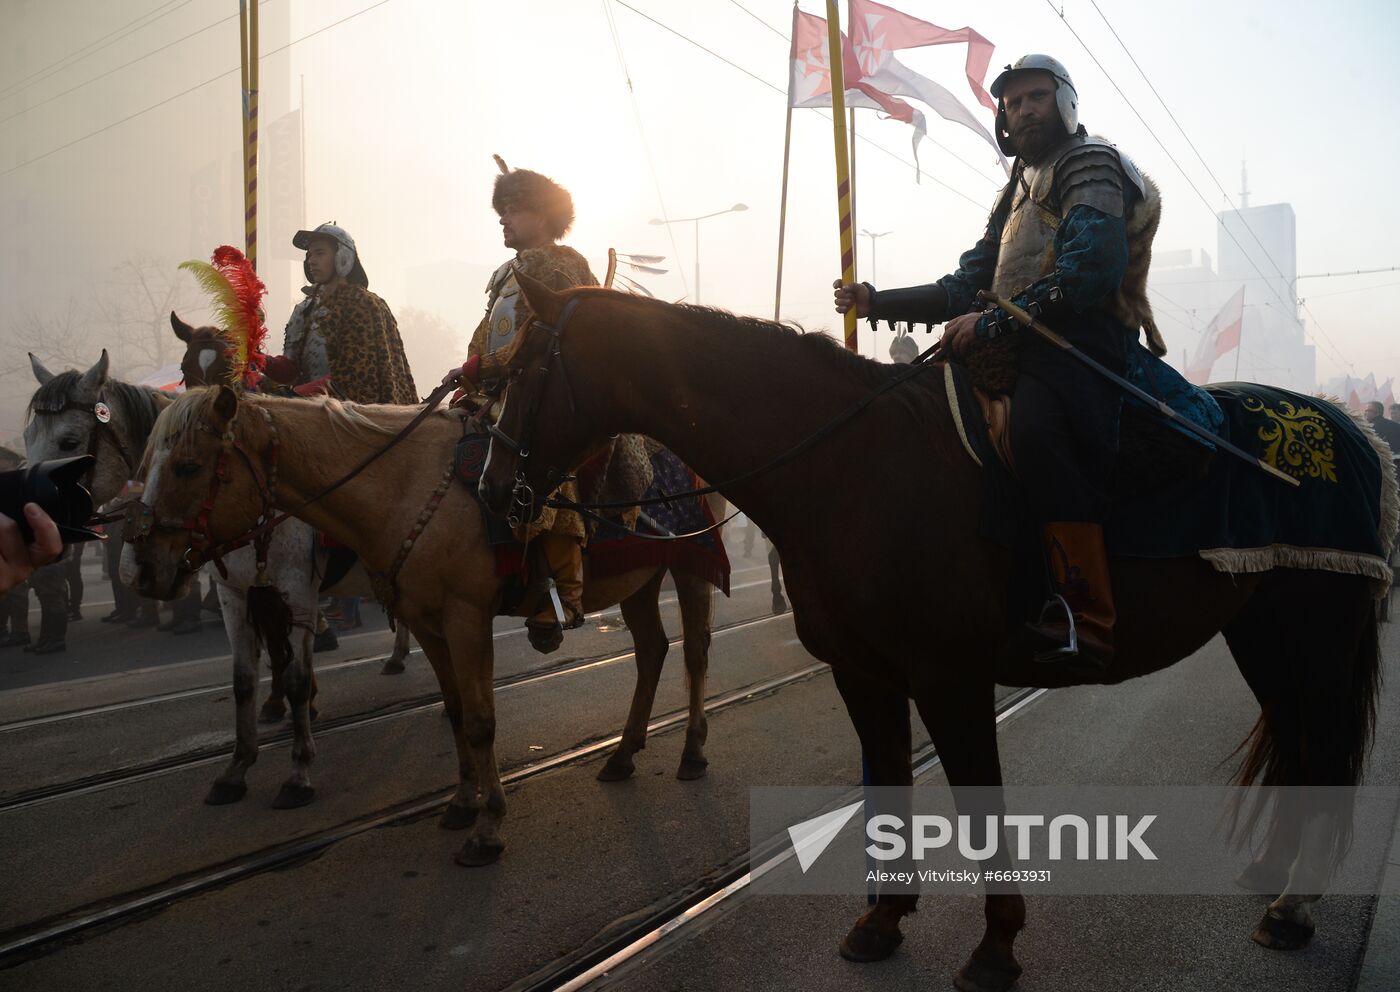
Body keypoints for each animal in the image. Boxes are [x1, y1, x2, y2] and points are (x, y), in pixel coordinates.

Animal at [123, 383, 722, 861]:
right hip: (639, 580)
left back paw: (693, 751)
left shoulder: (464, 617)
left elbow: (480, 720)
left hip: (689, 564)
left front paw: (488, 827)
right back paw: (622, 754)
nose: (144, 568)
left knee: (694, 651)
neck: (405, 489)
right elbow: (455, 713)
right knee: (652, 650)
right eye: (146, 465)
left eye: (188, 466)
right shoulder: (426, 622)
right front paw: (462, 802)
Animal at [473, 274, 1388, 990]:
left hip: (1318, 626)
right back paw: (1275, 880)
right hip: (1263, 628)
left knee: (1321, 743)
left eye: (519, 368)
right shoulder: (864, 673)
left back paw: (1295, 907)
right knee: (1299, 739)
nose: (488, 490)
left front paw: (995, 947)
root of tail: (1352, 432)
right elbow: (886, 786)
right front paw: (882, 923)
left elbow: (979, 809)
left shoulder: (952, 678)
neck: (848, 471)